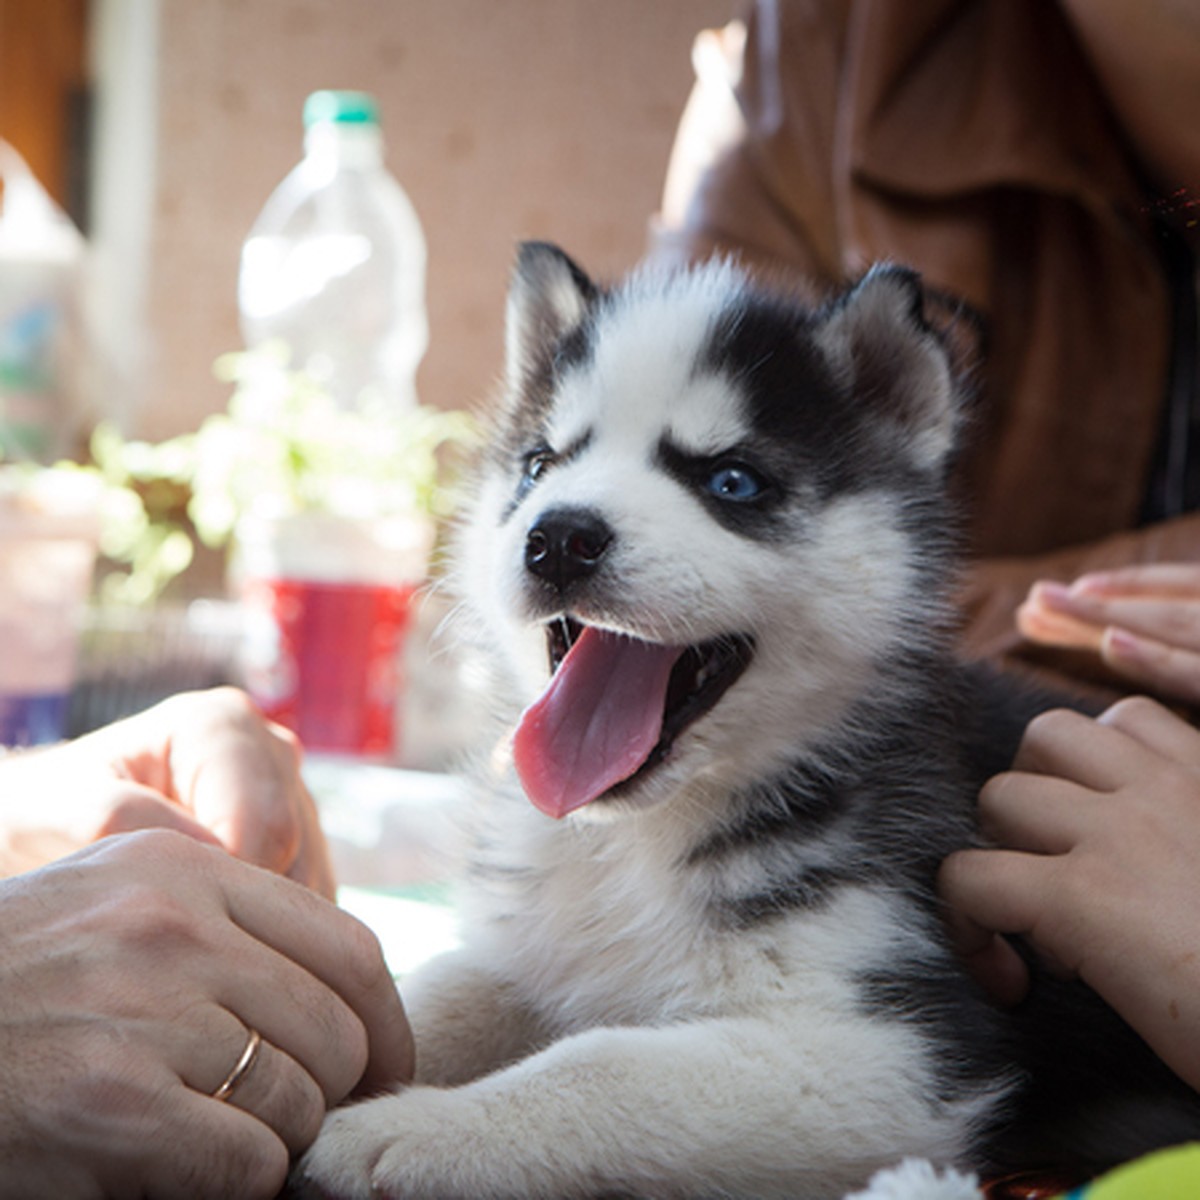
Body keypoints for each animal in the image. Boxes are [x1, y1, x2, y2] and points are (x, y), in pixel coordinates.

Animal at [297, 246, 1200, 1200]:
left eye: (731, 481)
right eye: (540, 466)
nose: (559, 537)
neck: (635, 840)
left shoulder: (891, 1055)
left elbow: (606, 1065)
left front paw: (412, 1129)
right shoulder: (534, 950)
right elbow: (426, 993)